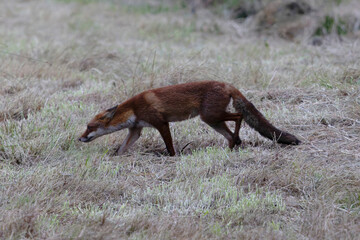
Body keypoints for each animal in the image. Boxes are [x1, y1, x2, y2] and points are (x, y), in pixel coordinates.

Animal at [79, 80, 300, 156]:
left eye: (89, 127)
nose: (79, 138)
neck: (133, 108)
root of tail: (226, 84)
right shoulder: (136, 130)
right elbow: (121, 149)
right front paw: (115, 158)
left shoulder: (161, 123)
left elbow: (170, 147)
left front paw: (173, 158)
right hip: (212, 120)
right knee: (230, 133)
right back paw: (232, 147)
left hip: (210, 115)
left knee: (238, 116)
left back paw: (237, 141)